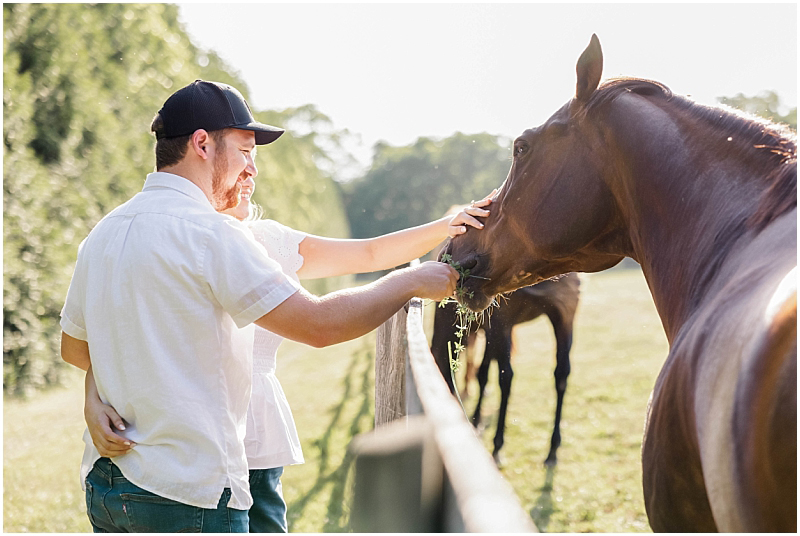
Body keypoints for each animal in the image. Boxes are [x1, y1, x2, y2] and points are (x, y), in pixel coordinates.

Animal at [432, 272, 580, 464]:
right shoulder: (501, 321)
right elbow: (505, 379)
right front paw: (497, 445)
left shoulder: (565, 312)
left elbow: (561, 376)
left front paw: (553, 449)